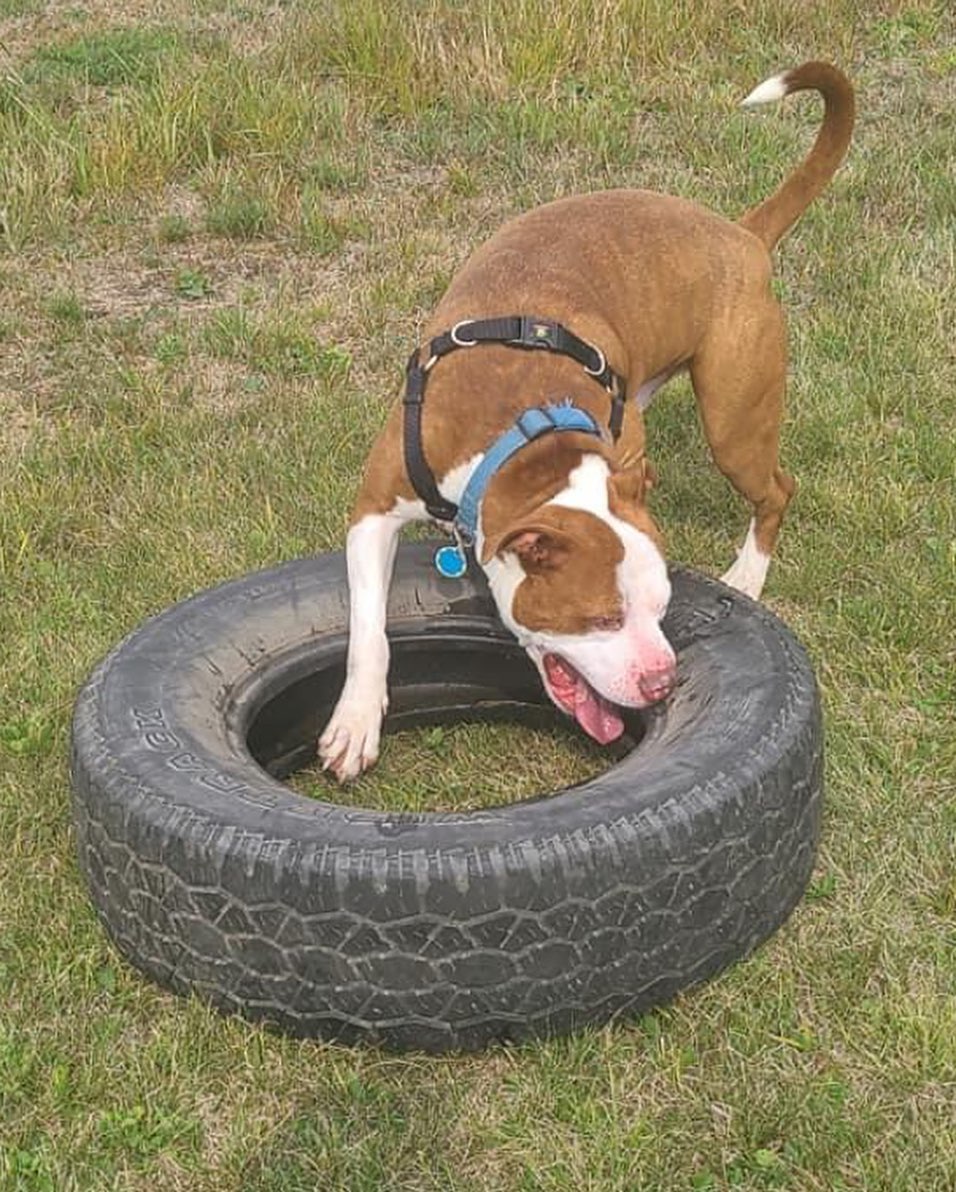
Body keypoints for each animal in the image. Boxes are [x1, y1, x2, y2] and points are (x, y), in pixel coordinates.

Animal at [317, 60, 853, 781]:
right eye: (600, 619)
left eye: (662, 607)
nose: (662, 681)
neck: (523, 437)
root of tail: (739, 234)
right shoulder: (374, 509)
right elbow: (368, 629)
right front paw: (354, 722)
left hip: (733, 421)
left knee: (777, 489)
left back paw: (747, 575)